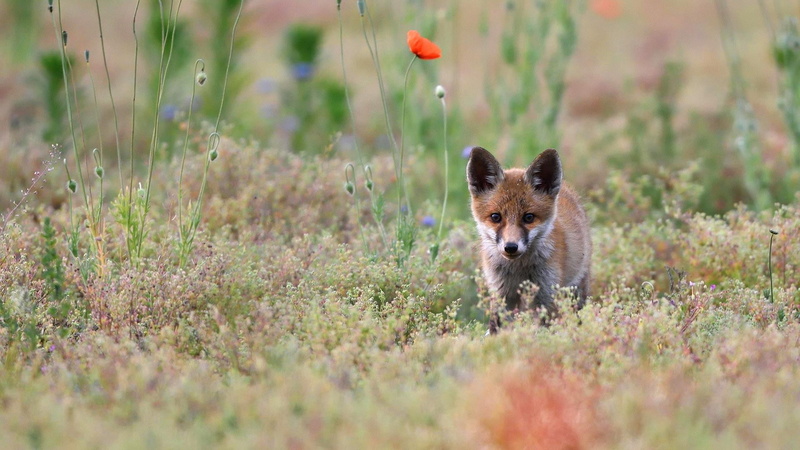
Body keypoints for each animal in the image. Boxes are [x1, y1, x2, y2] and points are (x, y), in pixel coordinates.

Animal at [466, 147, 591, 330]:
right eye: (496, 217)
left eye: (528, 217)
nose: (511, 247)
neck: (519, 270)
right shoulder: (501, 293)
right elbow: (497, 327)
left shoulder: (547, 294)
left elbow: (544, 329)